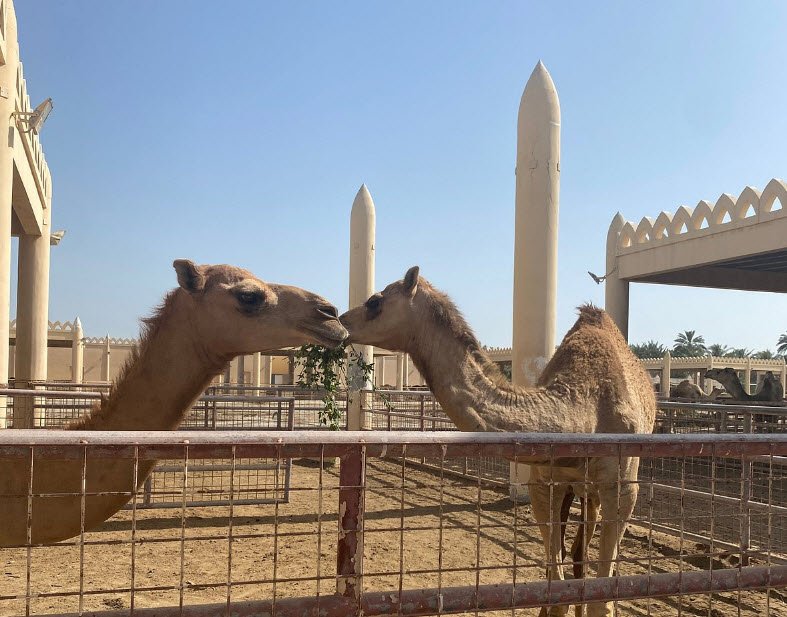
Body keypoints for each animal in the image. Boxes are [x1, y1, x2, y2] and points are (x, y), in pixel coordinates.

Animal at [340, 267, 656, 617]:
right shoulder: (544, 482)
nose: (338, 320)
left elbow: (603, 596)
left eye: (374, 301)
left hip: (598, 491)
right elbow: (556, 586)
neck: (585, 410)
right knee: (574, 557)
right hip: (579, 490)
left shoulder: (622, 487)